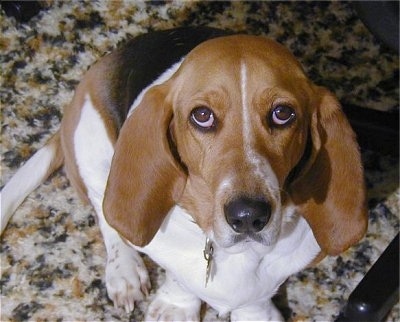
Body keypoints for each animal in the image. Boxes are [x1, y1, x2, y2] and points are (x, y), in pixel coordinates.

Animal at [1, 27, 368, 320]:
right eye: (202, 115)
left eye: (283, 113)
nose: (248, 215)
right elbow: (177, 276)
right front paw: (175, 306)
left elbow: (259, 294)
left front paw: (255, 313)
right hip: (92, 148)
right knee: (107, 215)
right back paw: (124, 272)